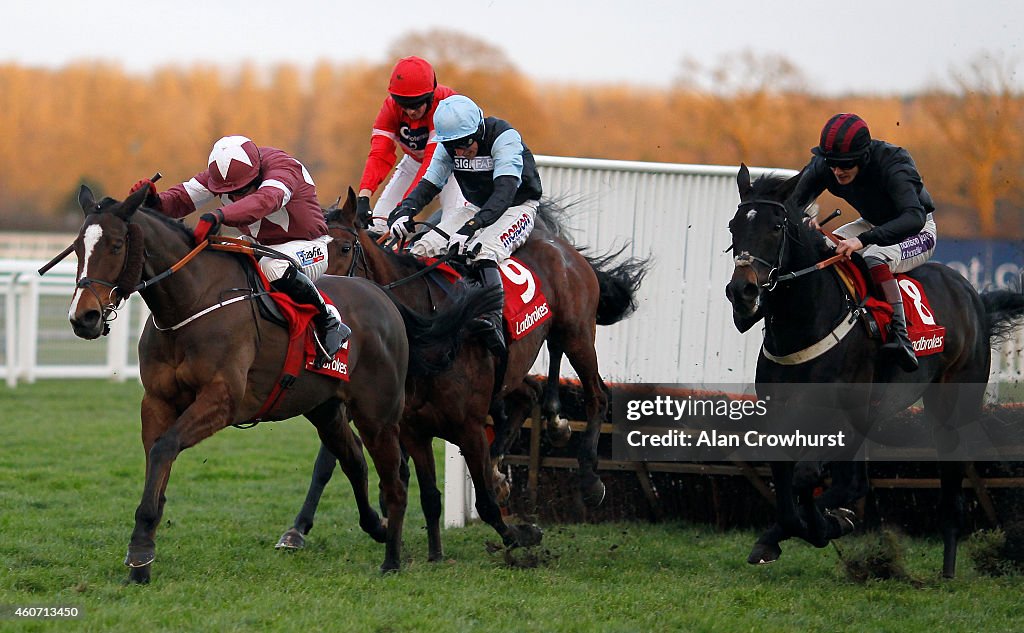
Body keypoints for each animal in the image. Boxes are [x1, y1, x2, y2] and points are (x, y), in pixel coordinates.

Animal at [64, 182, 495, 577]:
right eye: (78, 248)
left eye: (115, 245)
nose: (83, 317)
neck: (191, 303)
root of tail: (384, 296)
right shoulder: (156, 400)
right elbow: (156, 457)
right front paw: (143, 547)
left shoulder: (221, 399)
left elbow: (164, 448)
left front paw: (140, 547)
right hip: (325, 407)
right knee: (353, 460)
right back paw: (372, 526)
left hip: (379, 413)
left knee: (391, 476)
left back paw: (392, 554)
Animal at [278, 187, 647, 557]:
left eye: (343, 247)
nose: (319, 295)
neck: (428, 326)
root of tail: (559, 246)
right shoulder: (405, 422)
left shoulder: (461, 422)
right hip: (518, 364)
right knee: (529, 393)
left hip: (576, 332)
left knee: (595, 394)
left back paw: (587, 476)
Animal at [724, 163, 1024, 577]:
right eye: (733, 227)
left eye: (776, 227)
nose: (743, 291)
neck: (807, 317)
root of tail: (973, 296)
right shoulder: (782, 409)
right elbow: (787, 479)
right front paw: (780, 535)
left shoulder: (840, 411)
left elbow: (806, 477)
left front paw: (823, 525)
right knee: (856, 482)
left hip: (951, 409)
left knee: (946, 494)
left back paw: (946, 571)